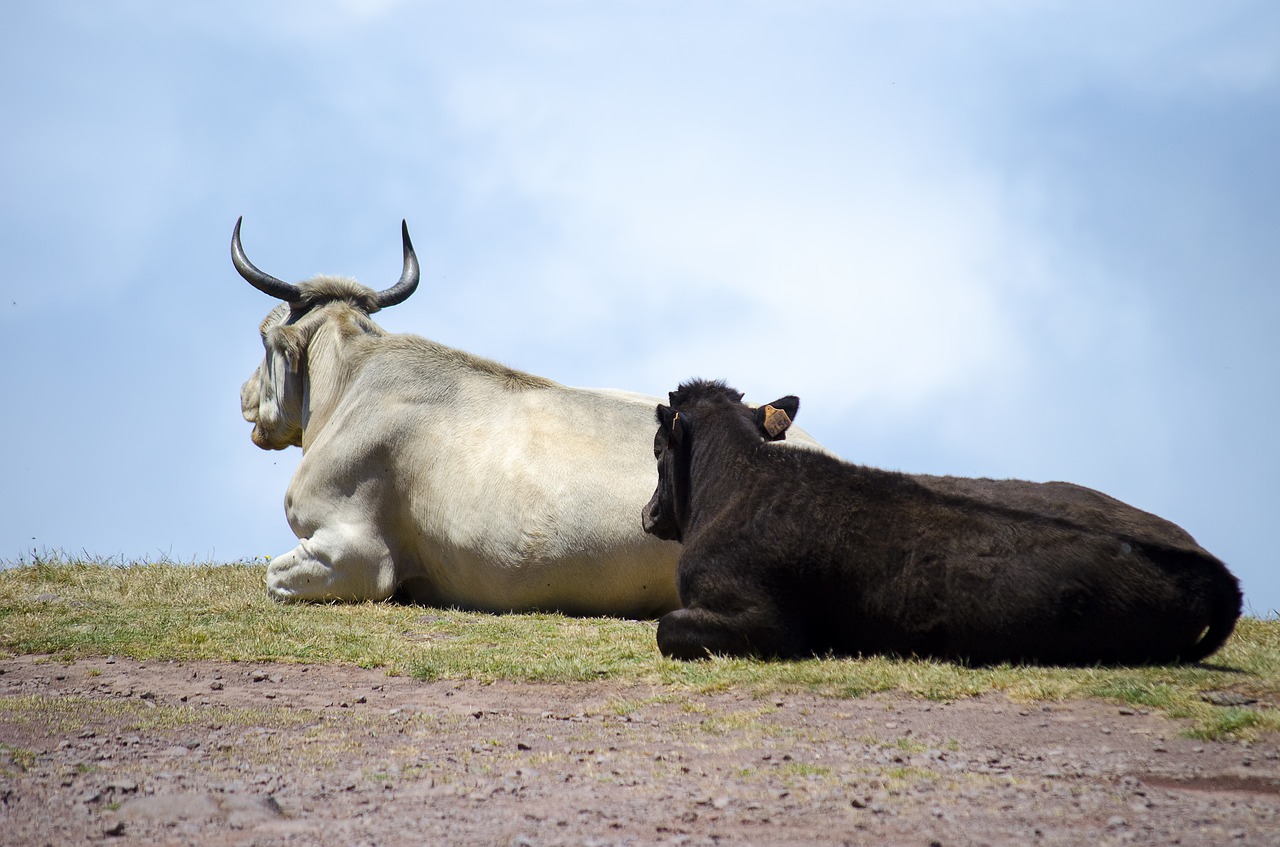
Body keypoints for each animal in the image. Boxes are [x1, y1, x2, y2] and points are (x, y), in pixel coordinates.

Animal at [640, 381, 1239, 665]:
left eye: (657, 446)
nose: (647, 514)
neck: (736, 482)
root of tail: (1210, 568)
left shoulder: (763, 619)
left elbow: (667, 628)